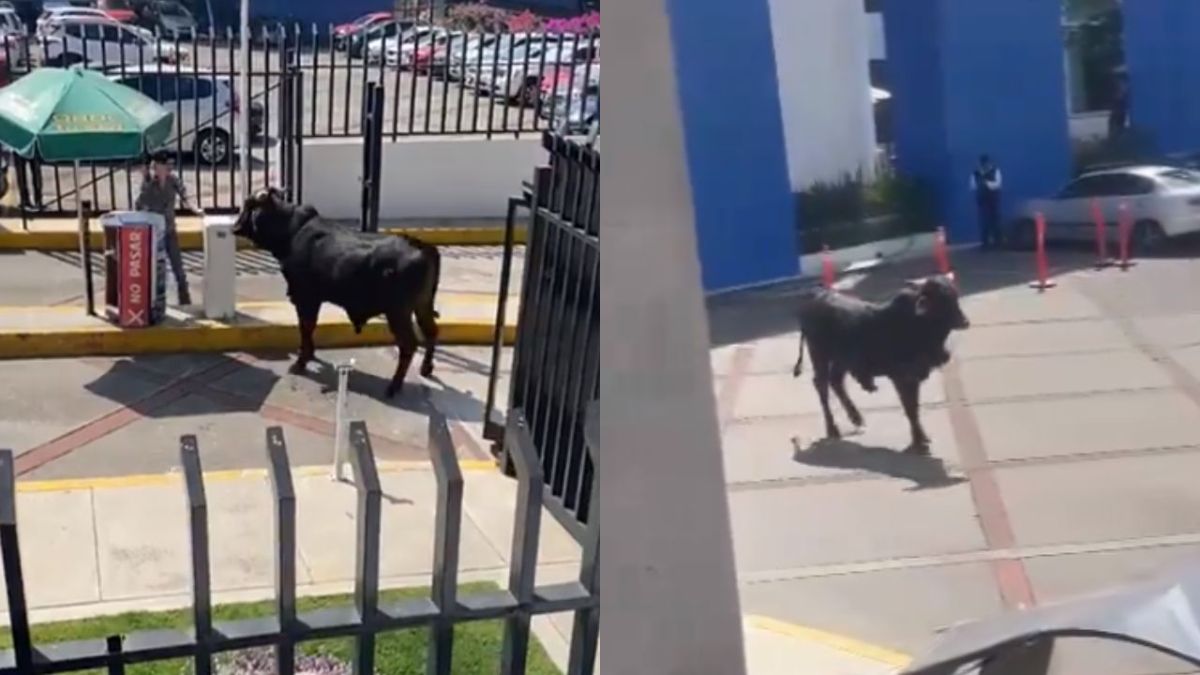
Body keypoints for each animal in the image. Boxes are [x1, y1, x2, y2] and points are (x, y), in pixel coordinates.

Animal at [231, 186, 444, 396]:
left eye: (248, 205)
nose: (235, 227)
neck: (292, 231)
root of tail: (423, 247)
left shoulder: (305, 296)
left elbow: (305, 326)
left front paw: (301, 361)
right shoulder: (313, 298)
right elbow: (309, 327)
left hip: (398, 312)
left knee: (408, 345)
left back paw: (394, 385)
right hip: (423, 305)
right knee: (431, 332)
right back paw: (426, 368)